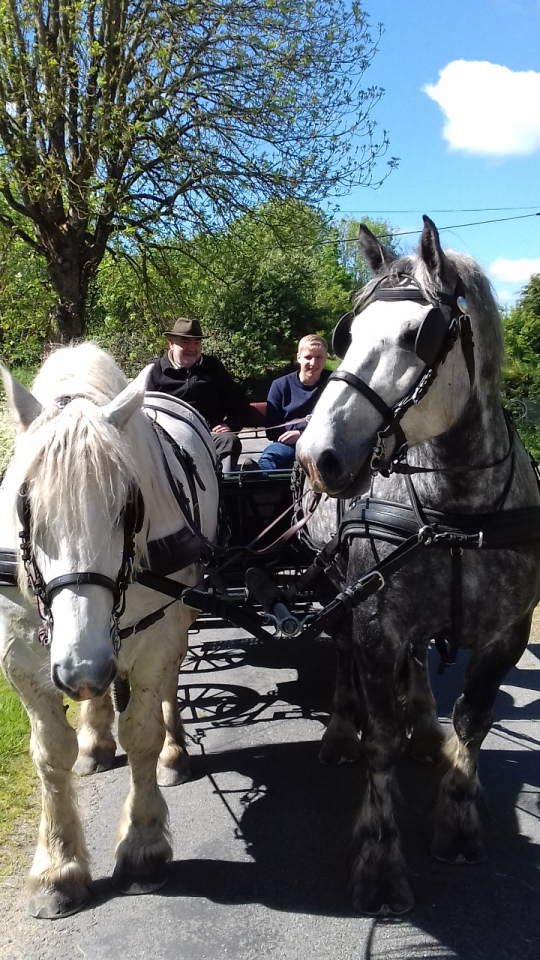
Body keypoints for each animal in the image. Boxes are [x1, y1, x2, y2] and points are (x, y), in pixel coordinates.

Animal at [0, 342, 219, 919]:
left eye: (129, 505)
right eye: (25, 506)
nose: (83, 668)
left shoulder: (157, 636)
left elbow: (141, 732)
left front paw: (143, 847)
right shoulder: (21, 654)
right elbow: (49, 754)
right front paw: (57, 869)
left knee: (167, 688)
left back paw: (173, 752)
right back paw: (95, 740)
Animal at [297, 217, 540, 915]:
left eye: (419, 335)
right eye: (347, 336)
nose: (316, 455)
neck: (457, 509)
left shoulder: (507, 635)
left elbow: (475, 721)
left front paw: (457, 819)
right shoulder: (377, 621)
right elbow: (380, 738)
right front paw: (379, 865)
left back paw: (426, 730)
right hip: (339, 589)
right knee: (344, 658)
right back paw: (340, 731)